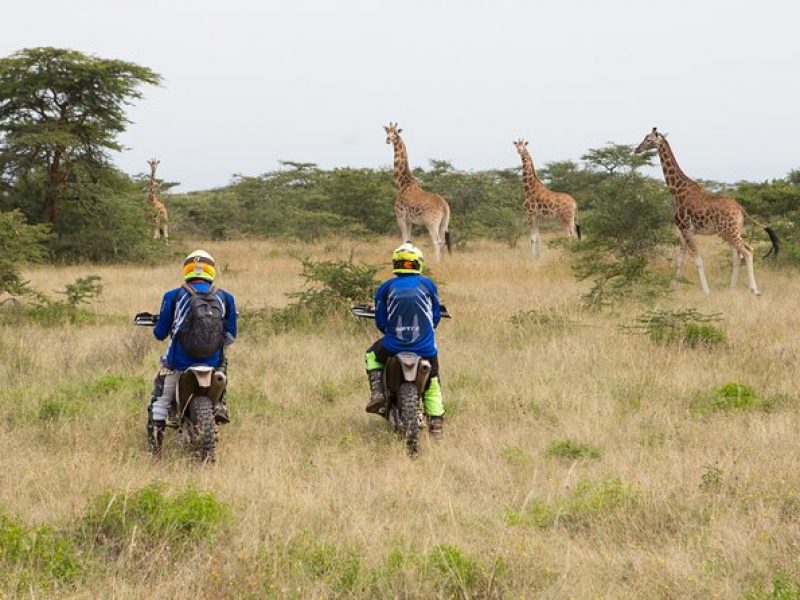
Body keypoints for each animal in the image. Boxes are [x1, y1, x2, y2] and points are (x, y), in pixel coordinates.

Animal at [386, 122, 454, 260]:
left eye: (395, 133)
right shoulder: (410, 221)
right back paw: (443, 262)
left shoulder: (401, 217)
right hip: (444, 222)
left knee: (437, 241)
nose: (388, 139)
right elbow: (408, 241)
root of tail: (444, 205)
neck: (402, 184)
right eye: (387, 132)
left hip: (431, 222)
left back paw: (436, 262)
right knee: (443, 240)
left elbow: (404, 240)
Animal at [636, 127, 780, 296]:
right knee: (737, 257)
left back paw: (754, 290)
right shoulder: (682, 231)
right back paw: (731, 290)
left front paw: (706, 291)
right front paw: (673, 290)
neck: (677, 192)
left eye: (648, 139)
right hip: (734, 230)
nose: (637, 149)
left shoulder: (686, 230)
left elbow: (697, 260)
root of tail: (740, 208)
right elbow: (680, 261)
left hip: (728, 231)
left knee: (747, 251)